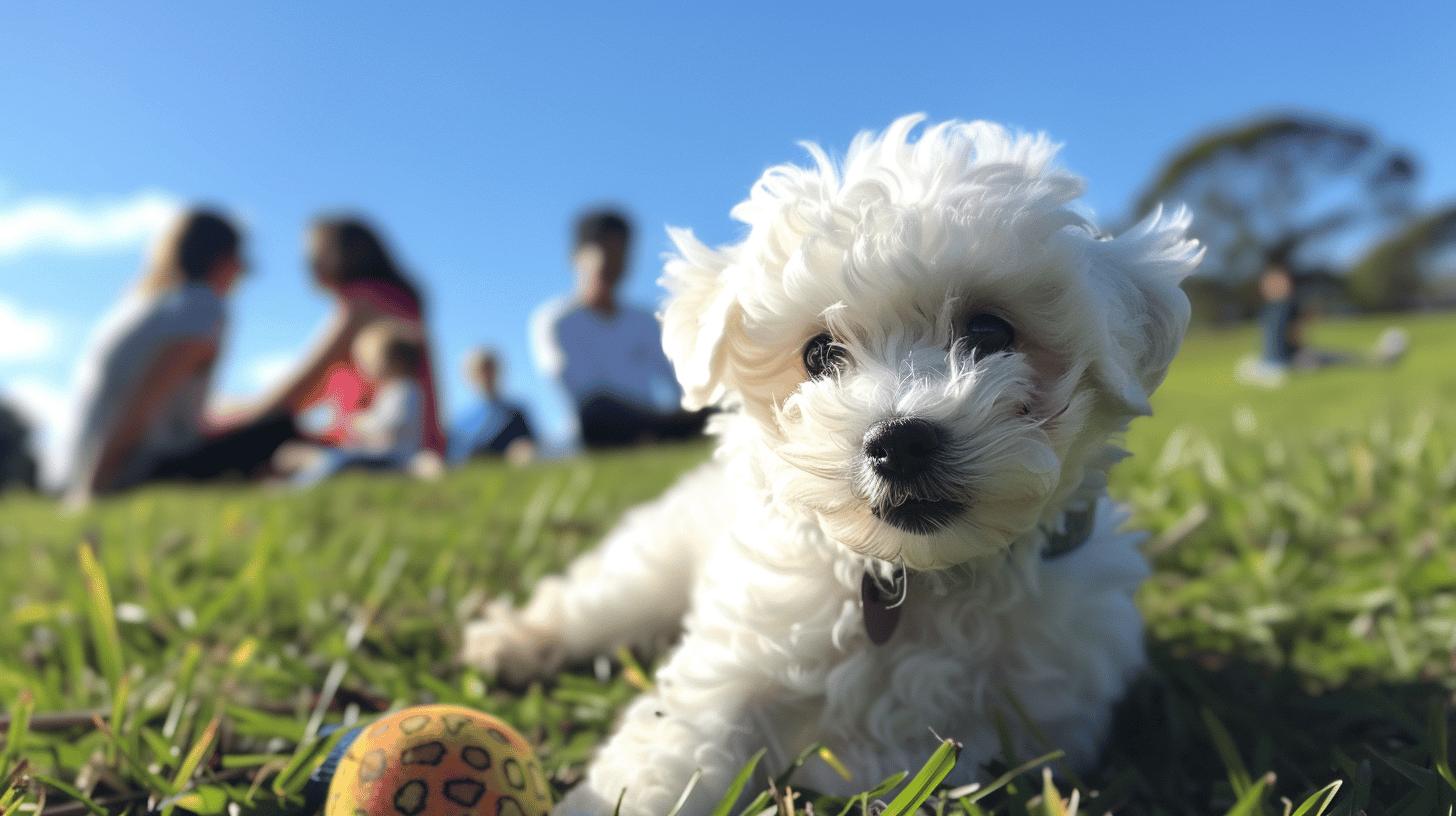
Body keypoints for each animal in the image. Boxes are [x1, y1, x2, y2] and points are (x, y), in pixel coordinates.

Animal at [463, 116, 1193, 816]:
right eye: (819, 354)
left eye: (989, 332)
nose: (900, 442)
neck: (915, 578)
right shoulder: (740, 658)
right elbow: (673, 750)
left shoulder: (1044, 715)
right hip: (651, 561)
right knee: (592, 600)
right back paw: (510, 643)